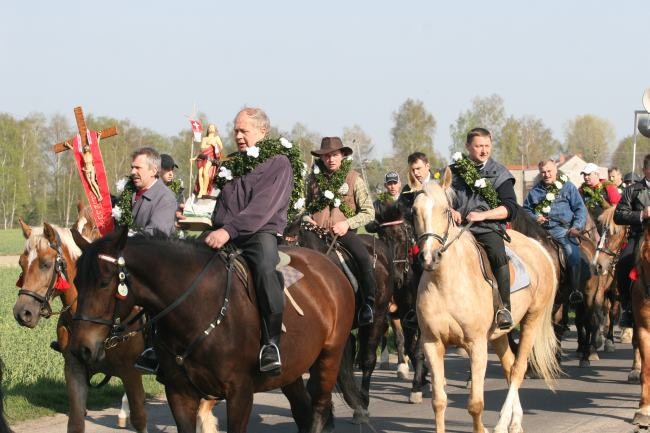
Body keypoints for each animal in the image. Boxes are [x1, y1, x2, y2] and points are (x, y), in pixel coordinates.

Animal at [68, 226, 362, 432]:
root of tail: (330, 267)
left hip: (329, 357)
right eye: (76, 281)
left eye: (104, 282)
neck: (196, 308)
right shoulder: (179, 393)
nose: (81, 348)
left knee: (320, 409)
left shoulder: (240, 394)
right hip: (290, 372)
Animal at [410, 174, 556, 432]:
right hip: (498, 335)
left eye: (445, 210)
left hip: (532, 319)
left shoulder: (476, 345)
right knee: (509, 367)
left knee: (518, 369)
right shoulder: (432, 343)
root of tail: (539, 248)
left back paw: (502, 422)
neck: (446, 283)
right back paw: (514, 422)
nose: (429, 257)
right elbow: (439, 401)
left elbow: (475, 404)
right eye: (414, 211)